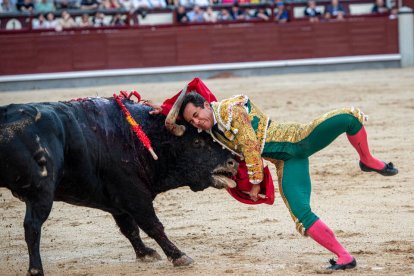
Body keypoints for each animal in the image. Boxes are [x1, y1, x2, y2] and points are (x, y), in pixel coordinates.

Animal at [0, 98, 236, 274]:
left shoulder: (117, 201)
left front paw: (145, 253)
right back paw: (36, 269)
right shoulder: (134, 194)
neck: (139, 138)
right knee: (32, 227)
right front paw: (178, 256)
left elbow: (129, 228)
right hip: (41, 193)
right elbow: (153, 225)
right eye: (197, 142)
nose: (233, 161)